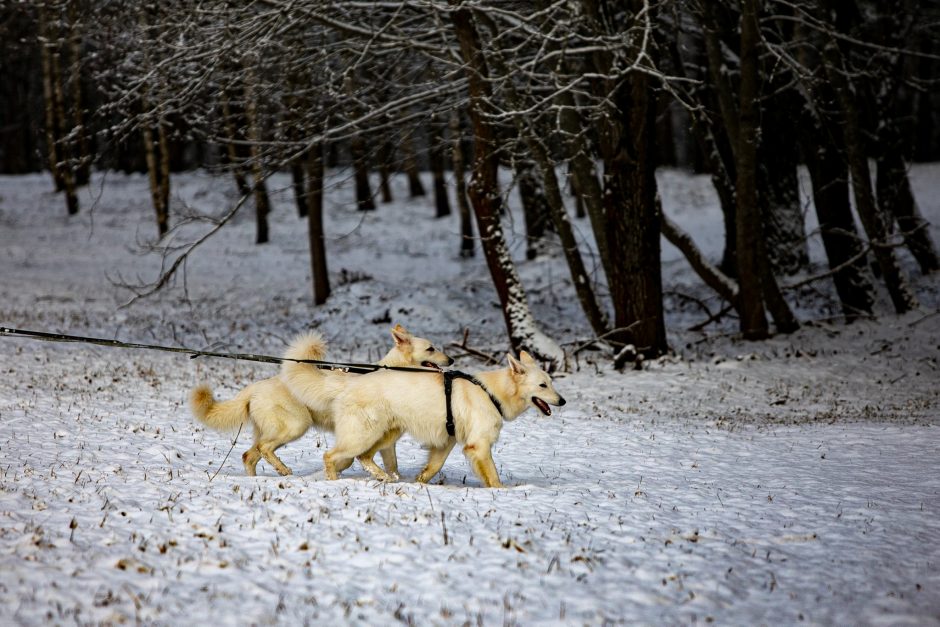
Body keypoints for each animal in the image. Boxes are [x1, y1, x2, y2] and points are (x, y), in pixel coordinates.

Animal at [191, 326, 452, 478]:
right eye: (431, 348)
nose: (450, 360)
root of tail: (254, 388)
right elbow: (346, 459)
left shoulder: (387, 443)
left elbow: (391, 466)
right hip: (296, 425)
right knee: (264, 449)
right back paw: (284, 469)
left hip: (272, 430)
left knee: (249, 455)